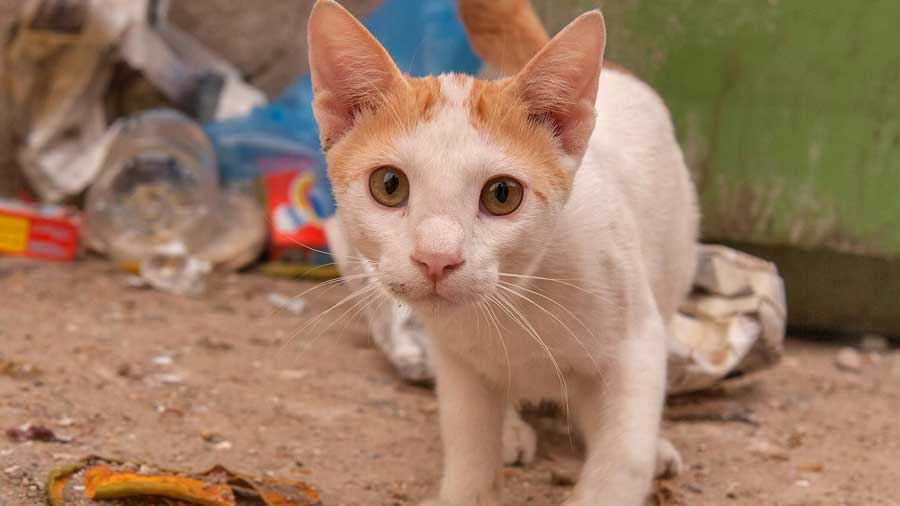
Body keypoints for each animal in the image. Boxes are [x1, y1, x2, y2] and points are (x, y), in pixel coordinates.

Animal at [306, 1, 700, 504]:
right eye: (389, 185)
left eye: (502, 195)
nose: (437, 258)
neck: (512, 303)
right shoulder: (454, 359)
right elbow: (468, 437)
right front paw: (469, 485)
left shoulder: (636, 343)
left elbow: (624, 453)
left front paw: (629, 462)